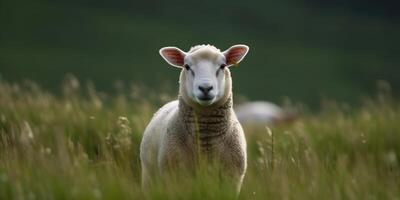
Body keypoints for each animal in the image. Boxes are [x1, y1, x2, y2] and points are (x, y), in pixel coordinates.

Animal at [139, 44, 248, 194]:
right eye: (187, 66)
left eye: (223, 66)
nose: (205, 88)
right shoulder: (175, 177)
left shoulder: (232, 179)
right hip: (148, 178)